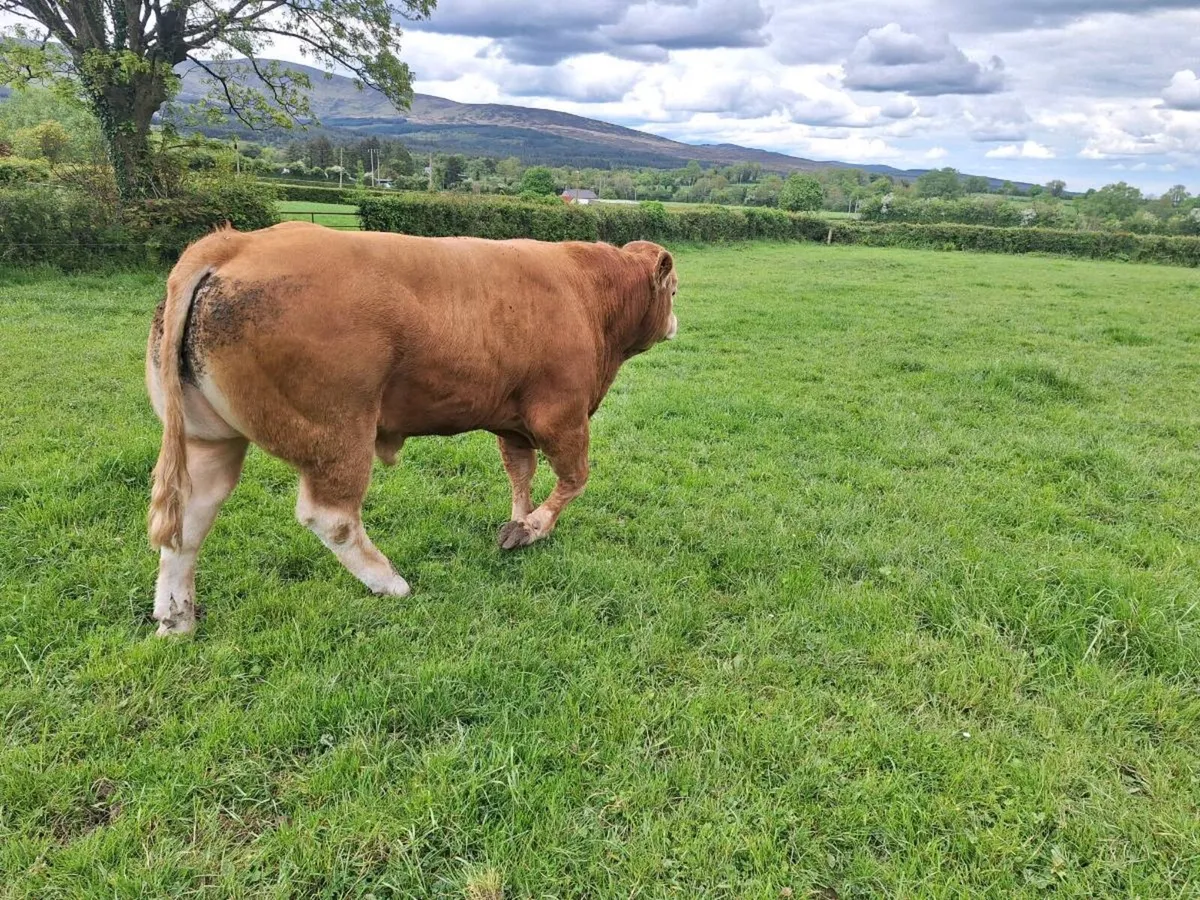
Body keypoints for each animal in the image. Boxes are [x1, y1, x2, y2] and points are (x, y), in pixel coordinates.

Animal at [145, 222, 679, 636]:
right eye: (674, 290)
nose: (675, 322)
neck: (588, 293)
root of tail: (235, 243)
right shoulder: (561, 415)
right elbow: (574, 479)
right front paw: (533, 528)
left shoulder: (513, 422)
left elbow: (519, 473)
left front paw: (517, 521)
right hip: (338, 432)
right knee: (331, 517)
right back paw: (390, 582)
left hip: (210, 437)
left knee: (189, 520)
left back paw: (177, 618)